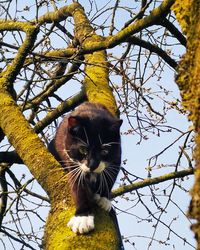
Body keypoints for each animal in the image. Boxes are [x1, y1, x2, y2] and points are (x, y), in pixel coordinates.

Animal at [49, 102, 122, 234]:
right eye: (83, 150)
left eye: (104, 151)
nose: (92, 165)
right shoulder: (73, 163)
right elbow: (78, 185)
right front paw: (82, 218)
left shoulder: (117, 155)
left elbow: (110, 176)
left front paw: (104, 198)